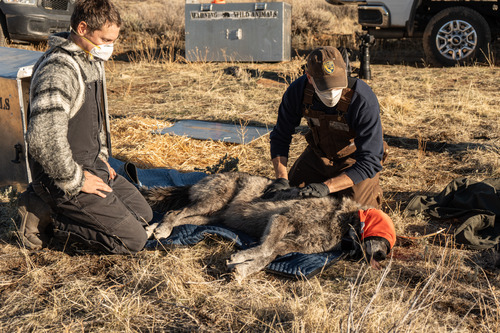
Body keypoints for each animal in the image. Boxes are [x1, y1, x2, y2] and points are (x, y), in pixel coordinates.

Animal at [143, 171, 396, 280]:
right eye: (383, 239)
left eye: (388, 246)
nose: (383, 257)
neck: (343, 221)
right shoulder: (282, 219)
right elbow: (265, 249)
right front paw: (240, 258)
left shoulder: (289, 245)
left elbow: (268, 257)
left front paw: (244, 268)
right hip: (212, 203)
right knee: (175, 212)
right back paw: (161, 229)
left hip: (210, 217)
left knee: (179, 217)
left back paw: (152, 228)